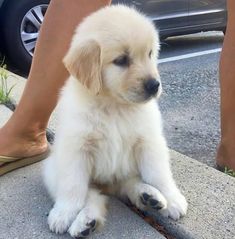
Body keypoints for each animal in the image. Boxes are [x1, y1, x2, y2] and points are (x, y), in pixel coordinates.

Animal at [43, 4, 188, 238]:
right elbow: (73, 186)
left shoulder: (149, 142)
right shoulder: (76, 149)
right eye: (121, 60)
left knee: (128, 184)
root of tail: (108, 186)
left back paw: (149, 196)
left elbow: (158, 174)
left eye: (149, 54)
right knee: (92, 195)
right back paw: (85, 221)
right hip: (51, 169)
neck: (114, 105)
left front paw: (173, 199)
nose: (154, 85)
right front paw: (64, 212)